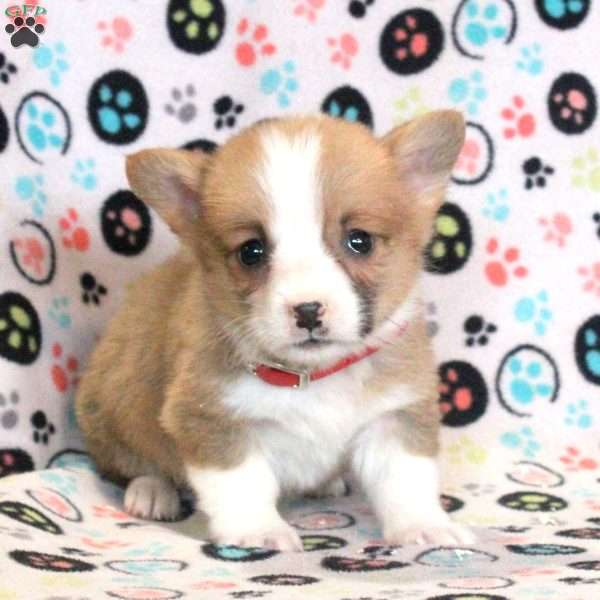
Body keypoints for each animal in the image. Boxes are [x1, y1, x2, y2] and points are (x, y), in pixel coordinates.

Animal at [75, 110, 472, 552]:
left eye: (360, 241)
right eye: (251, 251)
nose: (308, 310)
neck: (315, 376)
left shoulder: (394, 416)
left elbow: (406, 480)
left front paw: (425, 527)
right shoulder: (210, 419)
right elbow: (243, 481)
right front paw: (259, 530)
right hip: (113, 408)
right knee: (129, 464)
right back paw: (151, 491)